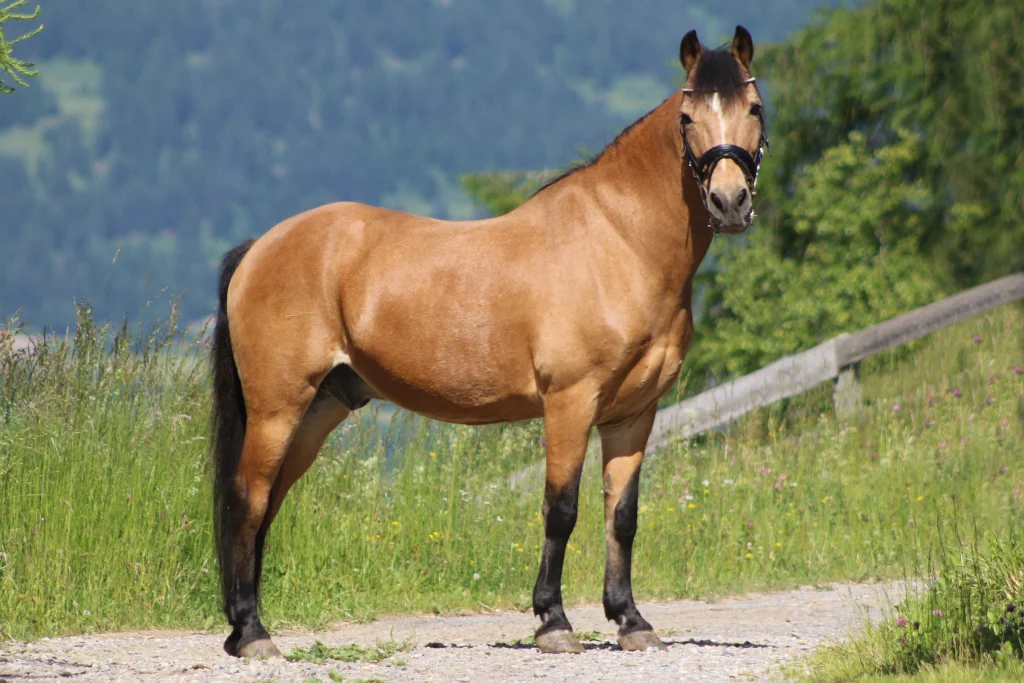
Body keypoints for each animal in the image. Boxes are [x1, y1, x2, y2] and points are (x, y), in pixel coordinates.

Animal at [211, 25, 767, 657]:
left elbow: (621, 516)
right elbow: (561, 509)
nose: (729, 203)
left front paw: (631, 621)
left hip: (319, 409)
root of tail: (260, 247)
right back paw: (252, 633)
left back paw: (245, 629)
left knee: (267, 503)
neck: (619, 243)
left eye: (754, 108)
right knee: (247, 499)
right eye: (687, 117)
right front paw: (553, 622)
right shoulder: (570, 403)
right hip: (278, 408)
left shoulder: (633, 415)